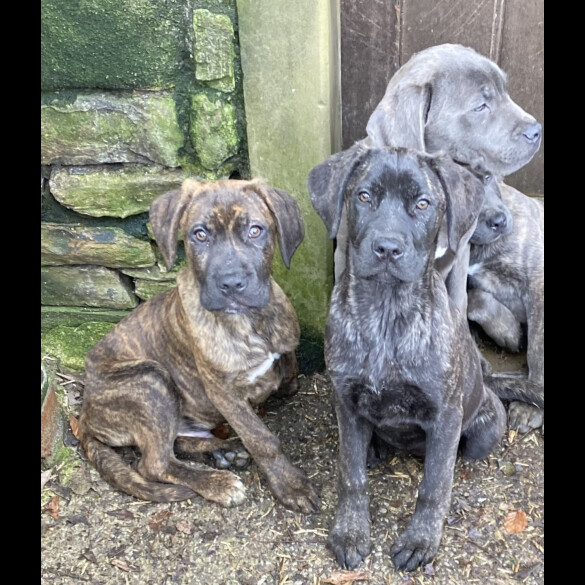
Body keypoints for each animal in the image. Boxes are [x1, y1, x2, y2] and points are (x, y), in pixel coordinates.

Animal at [77, 177, 320, 512]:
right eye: (200, 234)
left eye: (255, 230)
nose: (231, 284)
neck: (249, 322)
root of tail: (85, 413)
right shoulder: (224, 393)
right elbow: (261, 438)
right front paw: (291, 485)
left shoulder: (285, 352)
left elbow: (289, 377)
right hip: (149, 379)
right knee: (153, 464)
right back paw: (217, 483)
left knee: (173, 443)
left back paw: (222, 451)